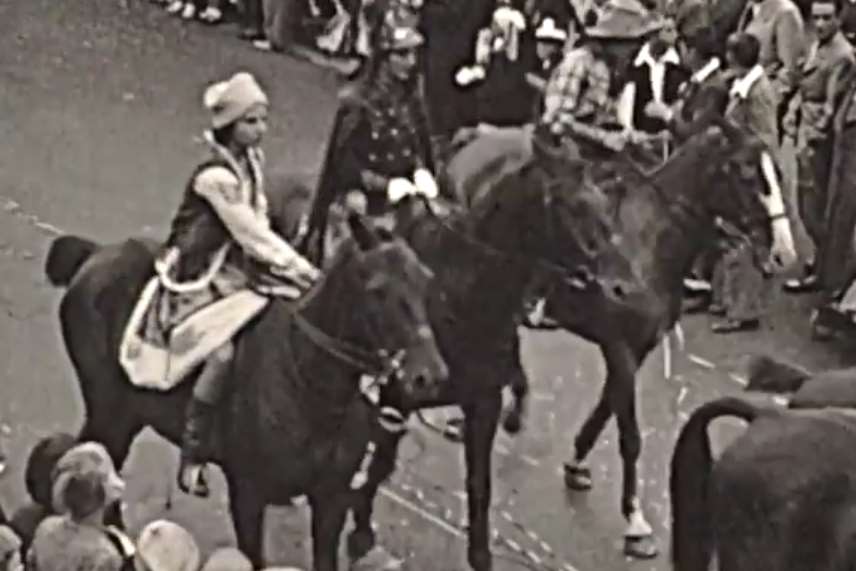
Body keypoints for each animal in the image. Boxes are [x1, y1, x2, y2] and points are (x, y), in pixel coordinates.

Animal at [43, 214, 452, 571]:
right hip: (109, 410)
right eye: (378, 291)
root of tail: (95, 254)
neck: (309, 386)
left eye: (425, 282)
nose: (429, 375)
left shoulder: (330, 501)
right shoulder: (249, 495)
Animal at [338, 125, 644, 571]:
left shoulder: (483, 403)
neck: (461, 295)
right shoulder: (400, 394)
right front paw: (360, 529)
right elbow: (381, 461)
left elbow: (479, 486)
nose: (625, 287)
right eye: (572, 207)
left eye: (605, 206)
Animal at [520, 116, 800, 560]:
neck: (646, 242)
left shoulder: (635, 348)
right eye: (745, 173)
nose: (783, 254)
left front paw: (577, 462)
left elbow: (606, 409)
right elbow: (630, 435)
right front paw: (635, 523)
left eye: (775, 171)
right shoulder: (619, 347)